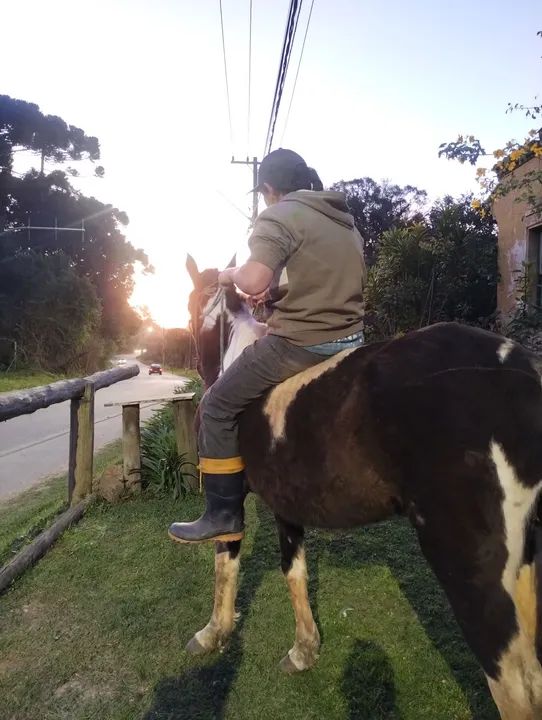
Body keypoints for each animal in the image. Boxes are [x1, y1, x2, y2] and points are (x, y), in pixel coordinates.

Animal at [183, 254, 542, 720]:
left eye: (189, 308)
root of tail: (519, 373)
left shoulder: (233, 499)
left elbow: (225, 557)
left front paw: (213, 633)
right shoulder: (287, 505)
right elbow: (294, 570)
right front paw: (304, 650)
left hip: (472, 567)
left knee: (515, 687)